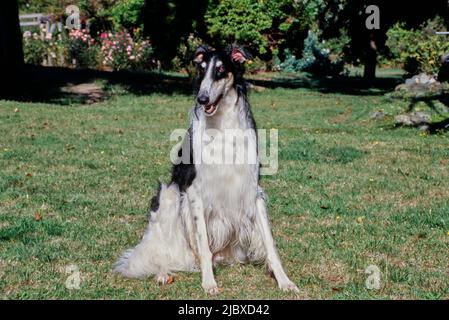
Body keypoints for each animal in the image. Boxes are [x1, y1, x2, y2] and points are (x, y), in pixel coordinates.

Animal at [114, 45, 298, 296]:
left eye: (220, 70)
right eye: (201, 69)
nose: (202, 99)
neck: (222, 126)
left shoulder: (252, 190)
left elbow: (270, 243)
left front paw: (284, 280)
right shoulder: (194, 191)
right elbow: (203, 244)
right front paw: (209, 283)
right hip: (170, 195)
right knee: (161, 253)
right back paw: (164, 273)